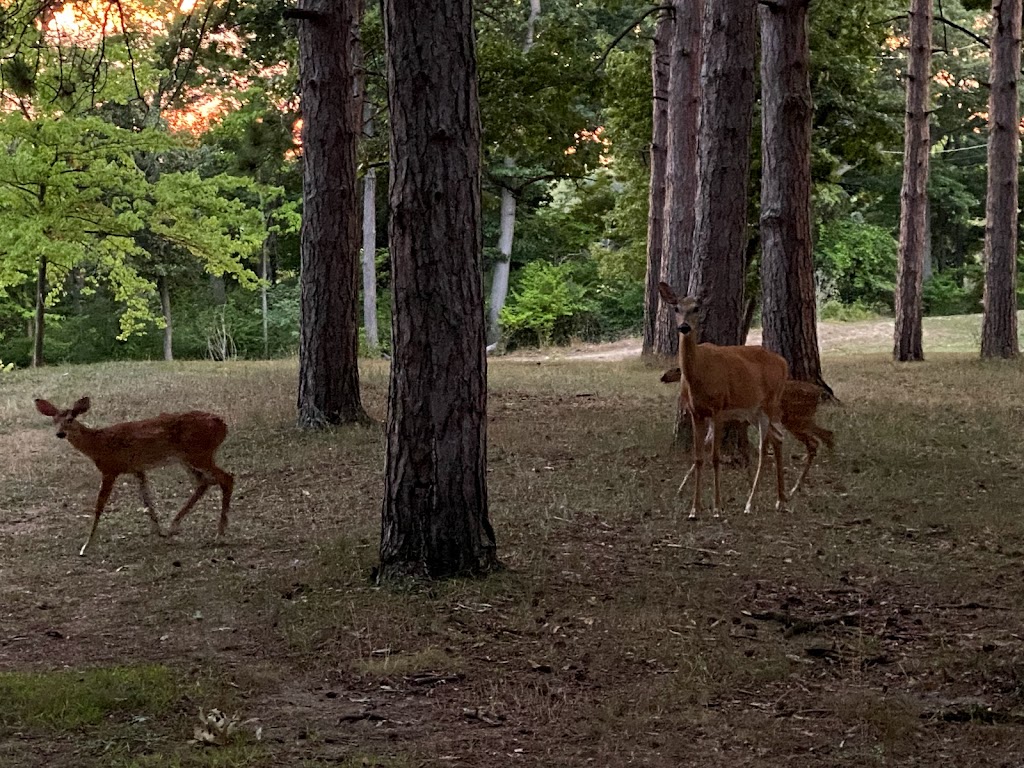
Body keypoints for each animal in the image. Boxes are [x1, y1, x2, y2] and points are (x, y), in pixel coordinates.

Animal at [34, 399, 234, 557]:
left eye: (70, 419)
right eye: (54, 421)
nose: (60, 434)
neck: (97, 444)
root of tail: (223, 425)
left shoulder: (110, 469)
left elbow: (99, 506)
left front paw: (86, 546)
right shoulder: (137, 469)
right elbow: (147, 499)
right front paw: (158, 531)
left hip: (199, 453)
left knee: (226, 478)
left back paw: (219, 535)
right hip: (187, 457)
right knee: (204, 482)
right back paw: (174, 527)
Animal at [659, 284, 786, 524]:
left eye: (697, 308)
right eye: (676, 308)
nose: (684, 327)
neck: (698, 375)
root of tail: (784, 363)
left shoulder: (718, 408)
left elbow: (716, 457)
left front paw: (717, 508)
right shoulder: (696, 412)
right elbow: (699, 457)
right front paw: (694, 510)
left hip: (771, 402)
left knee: (768, 446)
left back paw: (756, 503)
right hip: (753, 411)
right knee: (775, 440)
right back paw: (775, 501)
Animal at [663, 368, 831, 499]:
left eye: (676, 369)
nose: (663, 376)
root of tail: (818, 392)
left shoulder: (736, 422)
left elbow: (745, 453)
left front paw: (751, 487)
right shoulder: (738, 423)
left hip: (796, 419)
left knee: (817, 441)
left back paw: (796, 487)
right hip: (800, 420)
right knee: (824, 436)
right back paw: (798, 486)